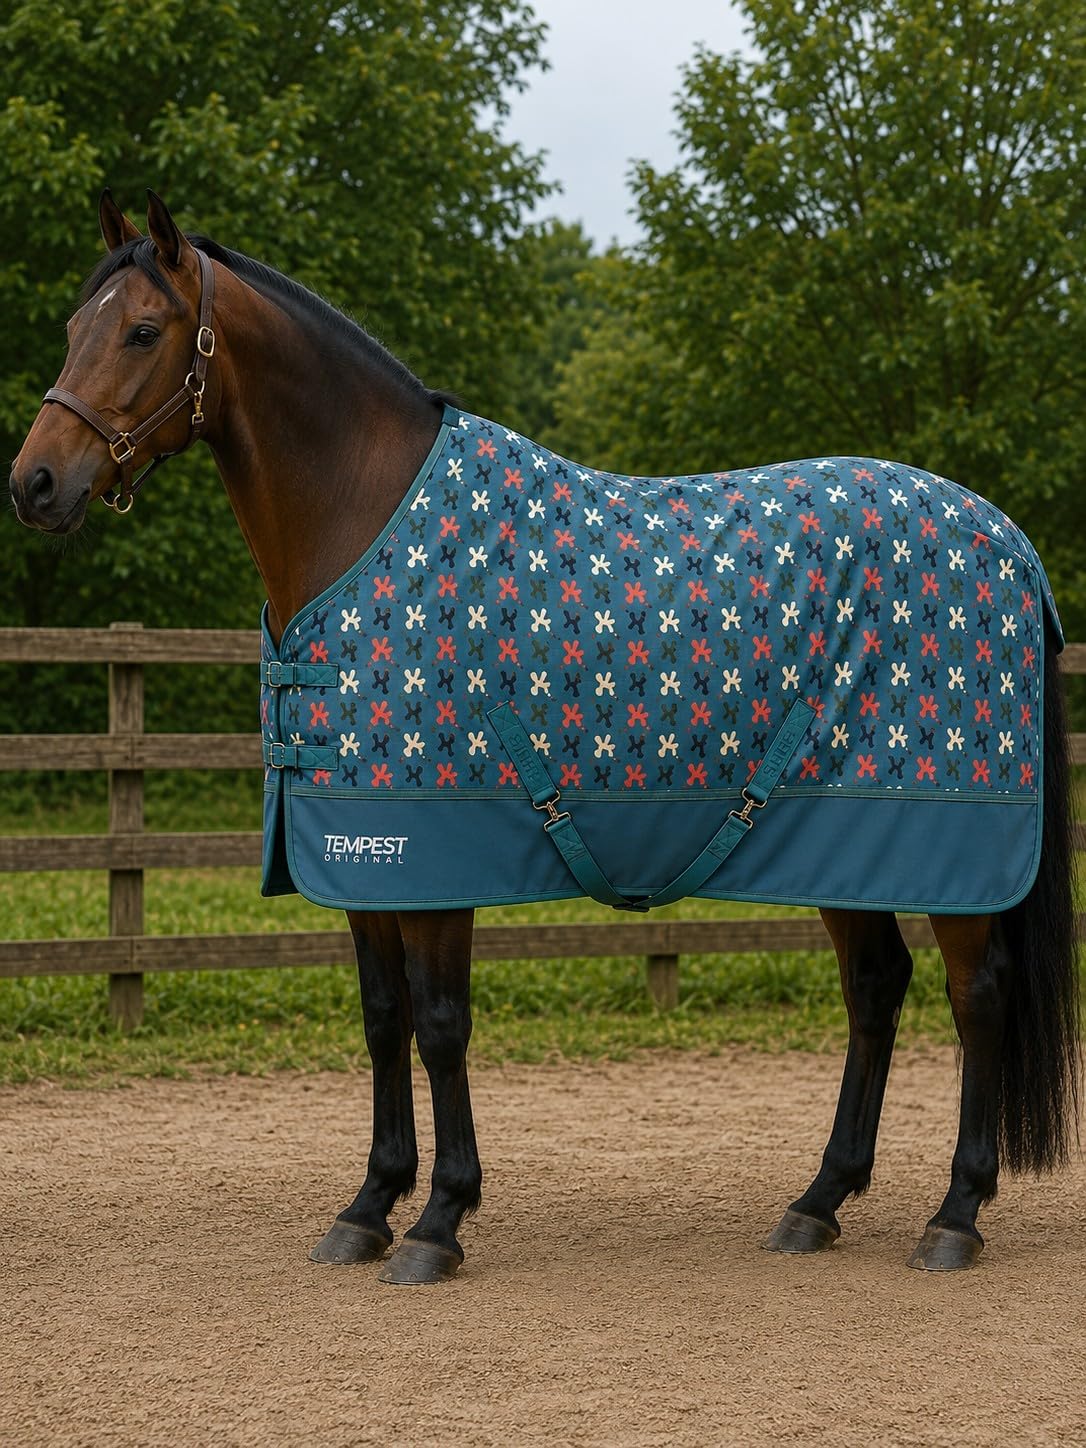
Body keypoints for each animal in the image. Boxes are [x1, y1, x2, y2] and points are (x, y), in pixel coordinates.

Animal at [10, 191, 1079, 1283]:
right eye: (74, 327)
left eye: (144, 331)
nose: (36, 483)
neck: (365, 521)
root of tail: (1009, 542)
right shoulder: (362, 856)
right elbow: (383, 1019)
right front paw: (369, 1205)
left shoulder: (434, 857)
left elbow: (441, 1026)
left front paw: (439, 1219)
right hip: (840, 840)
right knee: (875, 988)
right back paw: (817, 1200)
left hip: (946, 848)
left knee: (977, 995)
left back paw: (955, 1213)